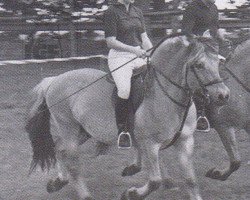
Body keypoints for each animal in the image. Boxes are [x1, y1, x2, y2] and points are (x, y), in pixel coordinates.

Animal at [26, 35, 229, 199]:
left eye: (217, 63)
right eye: (199, 65)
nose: (224, 95)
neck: (166, 97)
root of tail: (53, 80)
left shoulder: (185, 141)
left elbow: (190, 179)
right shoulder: (150, 144)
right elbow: (155, 180)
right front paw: (131, 193)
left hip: (82, 132)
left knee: (59, 149)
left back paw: (58, 182)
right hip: (69, 129)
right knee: (73, 164)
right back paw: (84, 195)